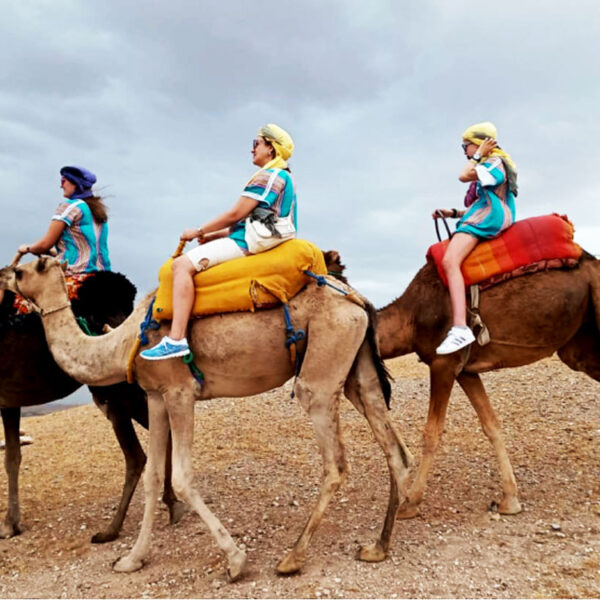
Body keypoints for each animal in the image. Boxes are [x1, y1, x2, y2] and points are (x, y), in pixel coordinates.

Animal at [0, 270, 183, 540]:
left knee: (136, 455)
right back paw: (172, 504)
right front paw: (11, 524)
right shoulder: (10, 399)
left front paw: (8, 524)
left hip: (117, 392)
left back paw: (112, 529)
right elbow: (12, 457)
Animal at [326, 251, 600, 516]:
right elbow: (491, 425)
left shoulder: (443, 363)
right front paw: (510, 500)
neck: (411, 318)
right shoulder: (465, 371)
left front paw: (411, 503)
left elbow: (432, 433)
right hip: (578, 346)